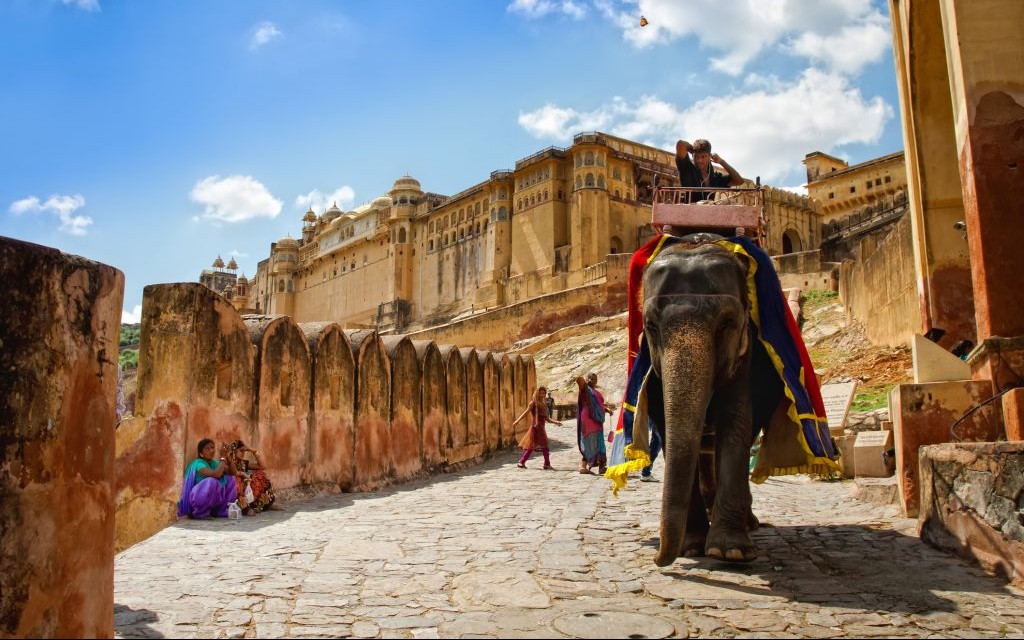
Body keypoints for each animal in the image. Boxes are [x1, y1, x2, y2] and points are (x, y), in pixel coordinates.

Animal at [638, 234, 782, 565]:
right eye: (650, 326)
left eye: (727, 324)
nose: (657, 558)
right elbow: (669, 433)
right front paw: (690, 546)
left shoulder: (745, 353)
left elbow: (735, 422)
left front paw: (729, 550)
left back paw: (746, 523)